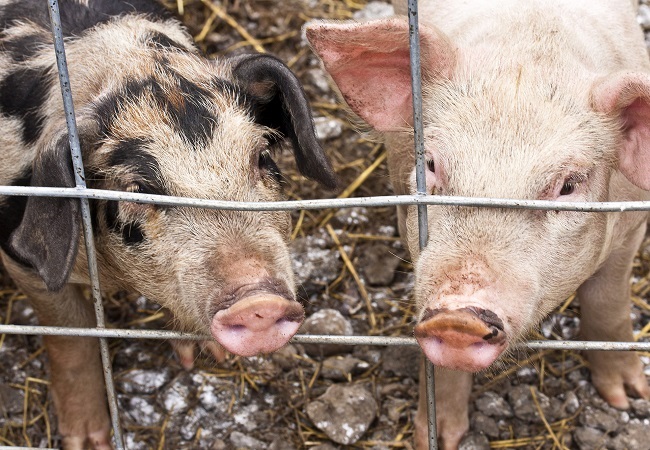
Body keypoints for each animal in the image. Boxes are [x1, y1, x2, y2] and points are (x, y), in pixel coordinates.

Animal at [0, 0, 334, 446]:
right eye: (138, 189)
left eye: (261, 157)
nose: (257, 302)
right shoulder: (21, 255)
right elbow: (72, 333)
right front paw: (89, 441)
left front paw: (209, 357)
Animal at [306, 0, 648, 448]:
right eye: (430, 163)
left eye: (569, 185)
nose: (458, 318)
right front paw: (437, 438)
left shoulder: (632, 222)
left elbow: (608, 302)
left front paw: (628, 398)